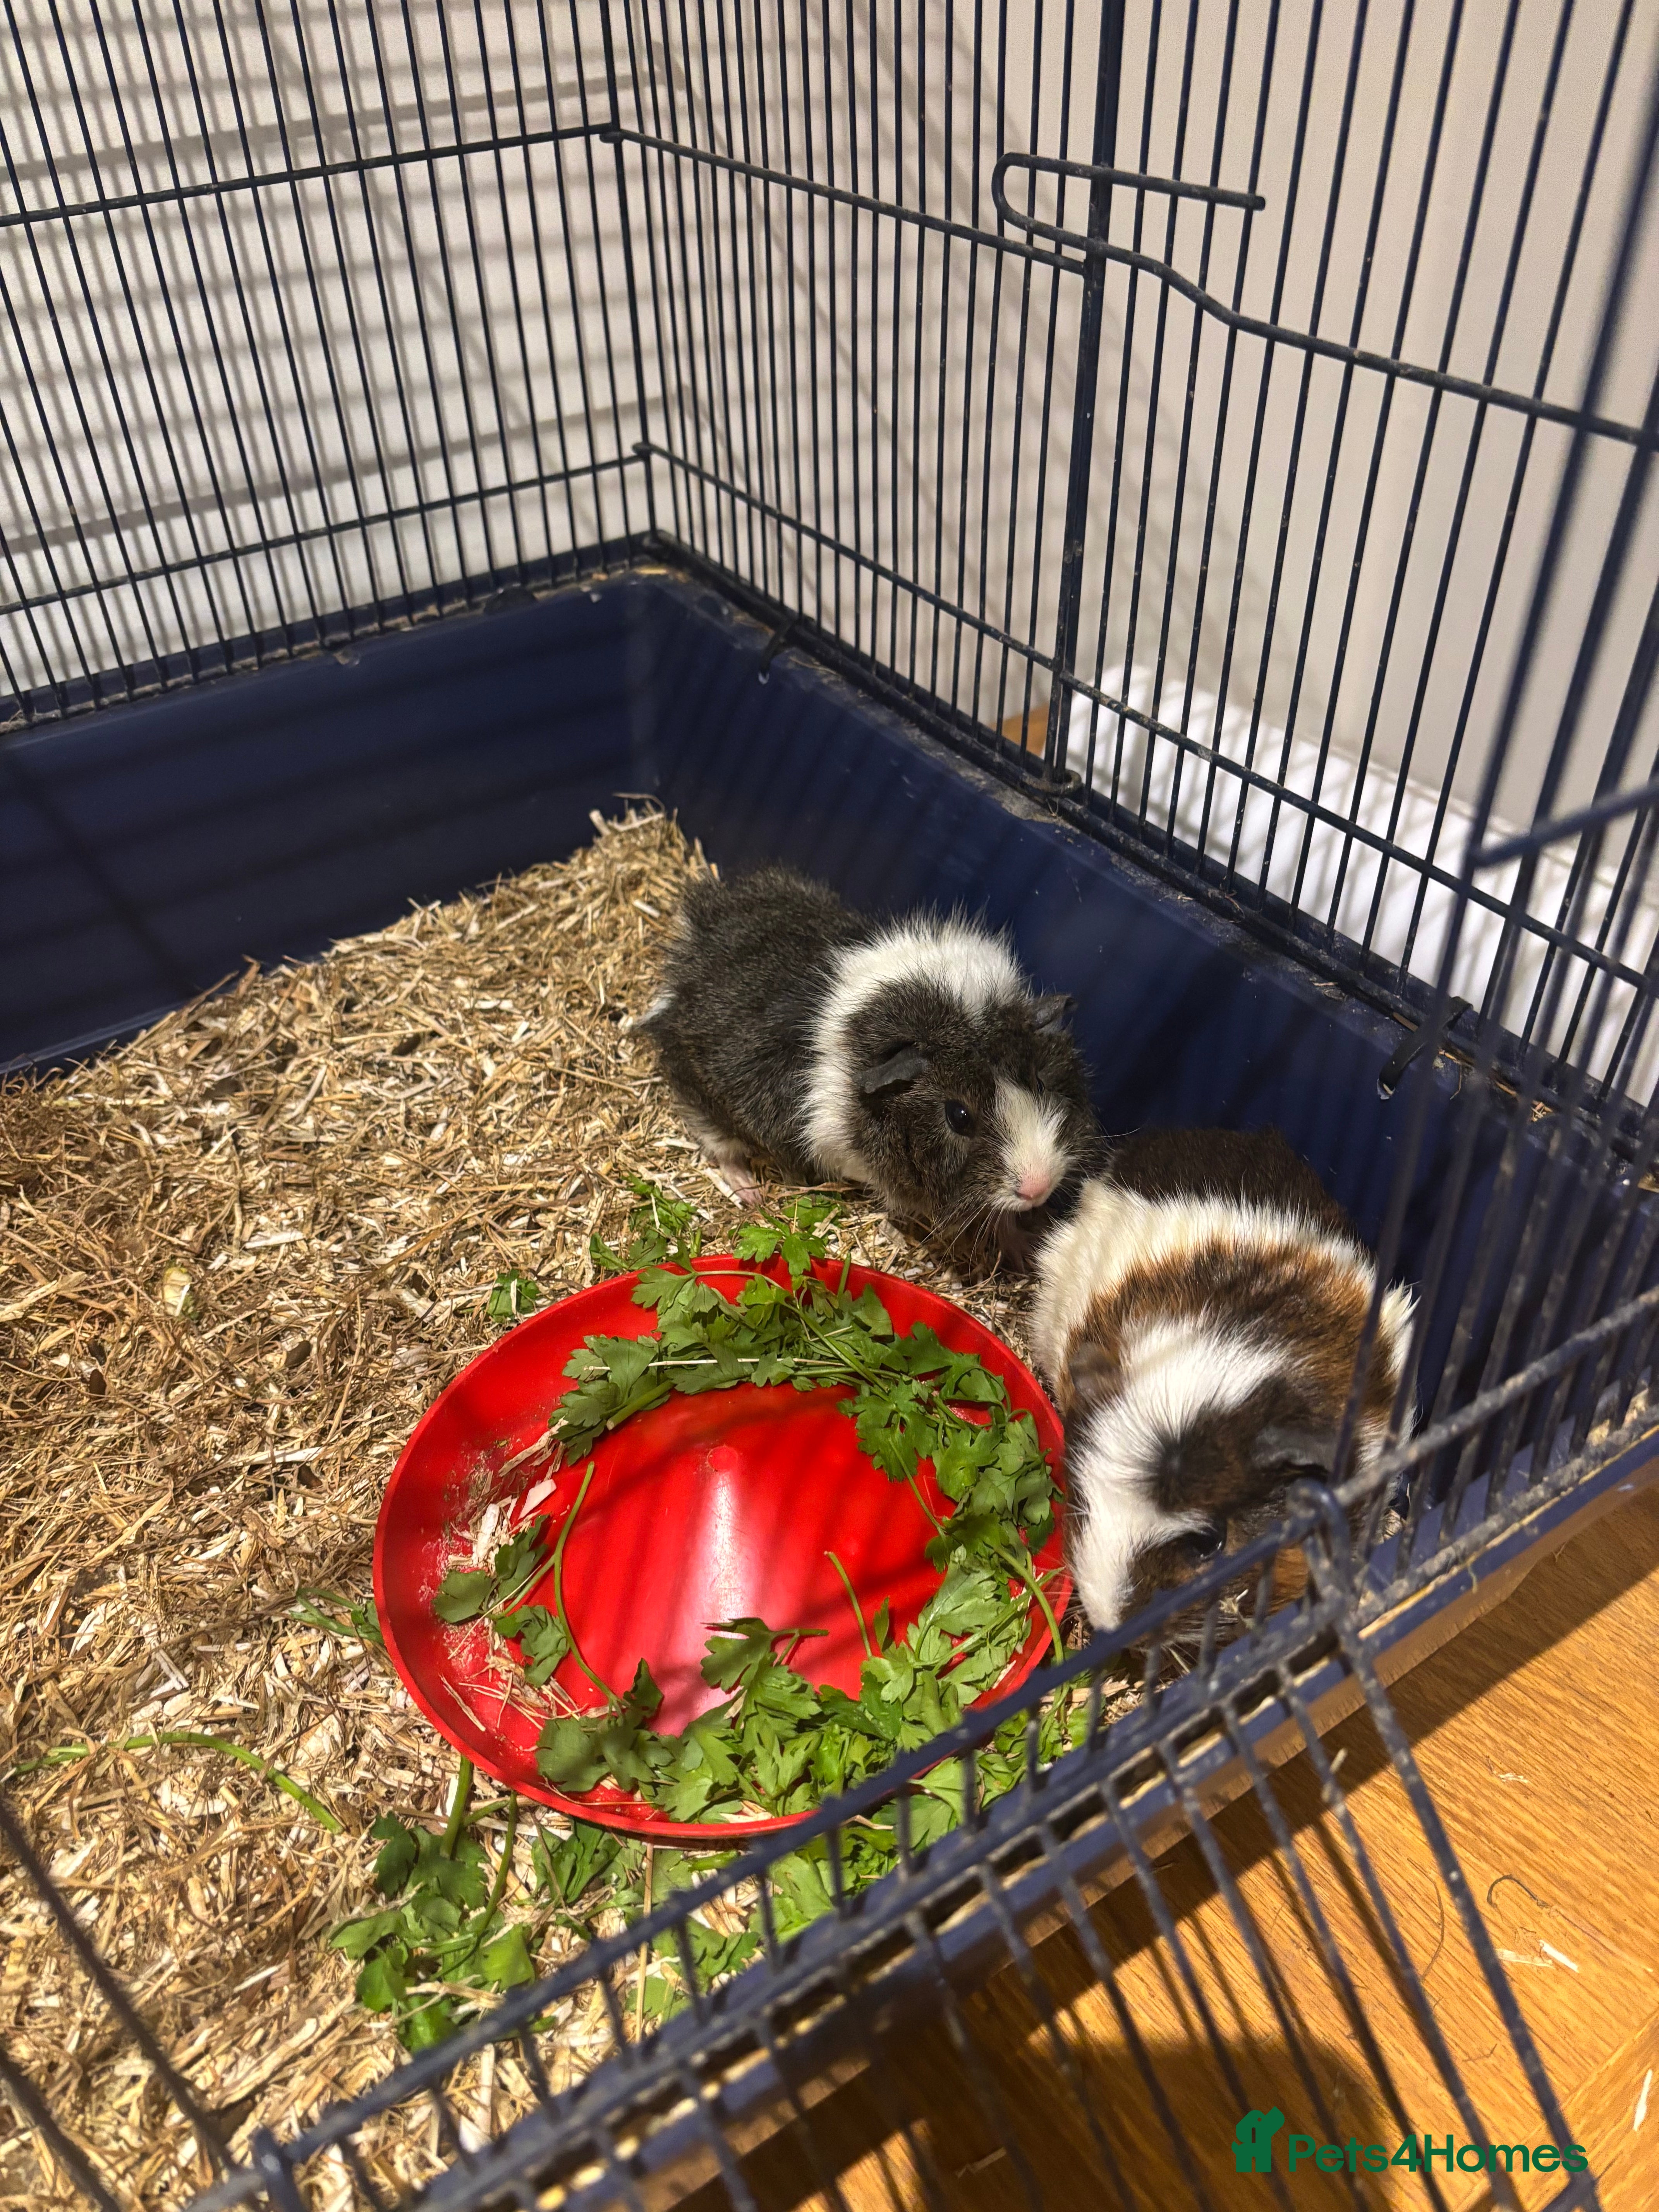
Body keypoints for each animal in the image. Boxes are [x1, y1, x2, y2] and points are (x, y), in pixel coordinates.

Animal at [633, 863, 1101, 1268]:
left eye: (1038, 1079)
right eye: (959, 1116)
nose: (1040, 1186)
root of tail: (689, 947)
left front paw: (1027, 1247)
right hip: (704, 1099)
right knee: (720, 1146)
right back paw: (751, 1194)